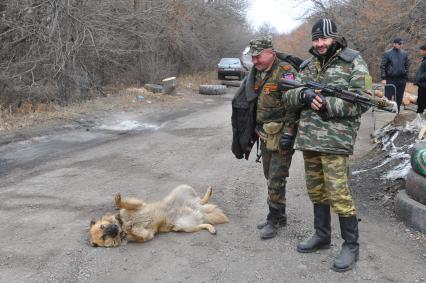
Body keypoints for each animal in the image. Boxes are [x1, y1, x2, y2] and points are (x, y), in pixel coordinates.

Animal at [89, 184, 230, 248]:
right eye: (103, 237)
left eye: (102, 226)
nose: (113, 229)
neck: (121, 222)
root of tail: (197, 209)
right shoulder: (146, 235)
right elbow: (137, 233)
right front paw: (129, 228)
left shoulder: (138, 206)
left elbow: (125, 204)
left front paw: (118, 201)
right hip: (184, 226)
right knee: (202, 222)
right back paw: (211, 228)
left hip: (183, 189)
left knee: (202, 200)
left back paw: (208, 192)